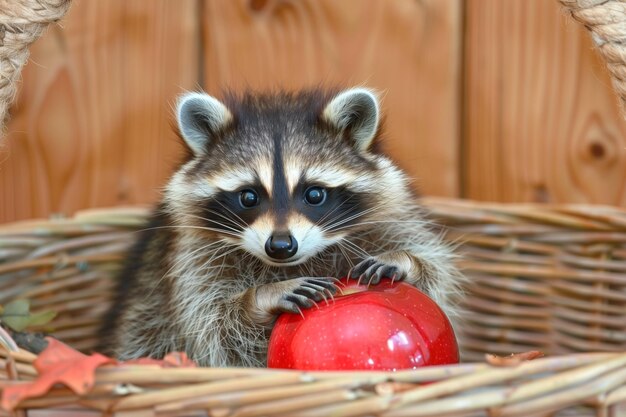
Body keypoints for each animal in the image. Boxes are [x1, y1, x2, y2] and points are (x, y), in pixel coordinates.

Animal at [101, 87, 464, 364]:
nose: (280, 246)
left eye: (314, 194)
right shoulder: (192, 261)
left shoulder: (389, 221)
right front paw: (260, 298)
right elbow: (215, 327)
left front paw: (406, 262)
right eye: (248, 197)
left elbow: (434, 274)